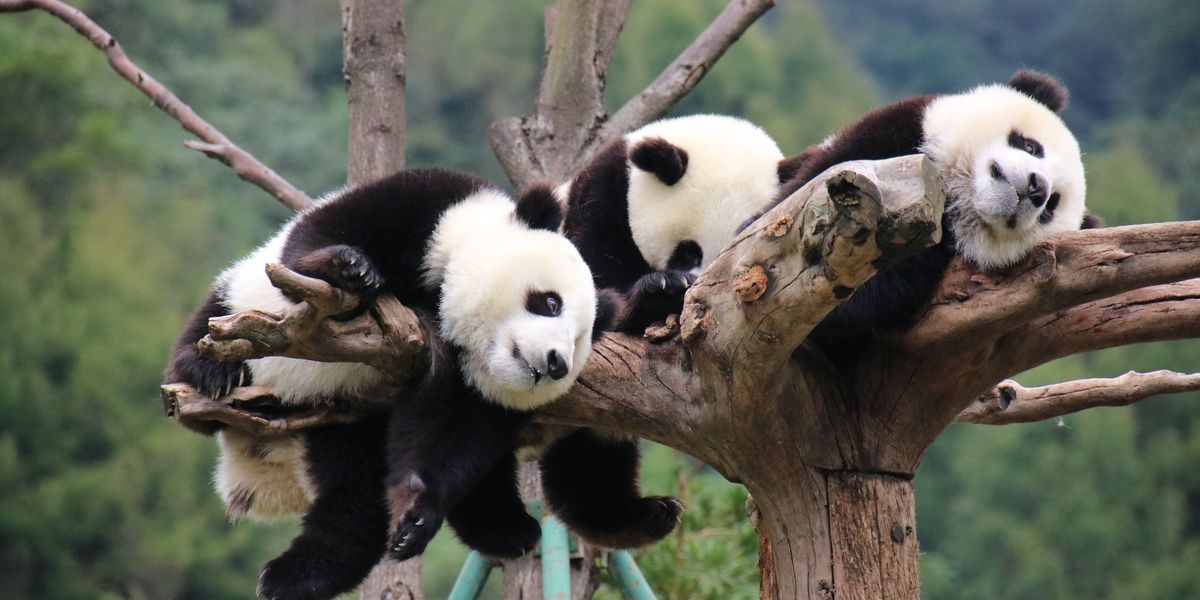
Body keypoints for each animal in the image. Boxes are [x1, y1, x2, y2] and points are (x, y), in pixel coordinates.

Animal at [164, 167, 614, 600]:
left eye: (579, 341)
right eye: (550, 302)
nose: (556, 363)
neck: (438, 309)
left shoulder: (466, 389)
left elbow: (449, 436)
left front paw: (415, 514)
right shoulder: (428, 206)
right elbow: (319, 241)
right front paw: (348, 269)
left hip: (348, 421)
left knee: (356, 500)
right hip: (241, 310)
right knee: (214, 329)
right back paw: (212, 374)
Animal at [531, 114, 792, 550]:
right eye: (688, 250)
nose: (696, 290)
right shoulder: (603, 199)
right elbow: (598, 287)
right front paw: (661, 291)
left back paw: (640, 517)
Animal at [759, 69, 1092, 346]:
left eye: (1050, 206)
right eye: (1031, 146)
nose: (1037, 188)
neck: (955, 193)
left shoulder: (931, 249)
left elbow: (881, 291)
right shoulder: (896, 132)